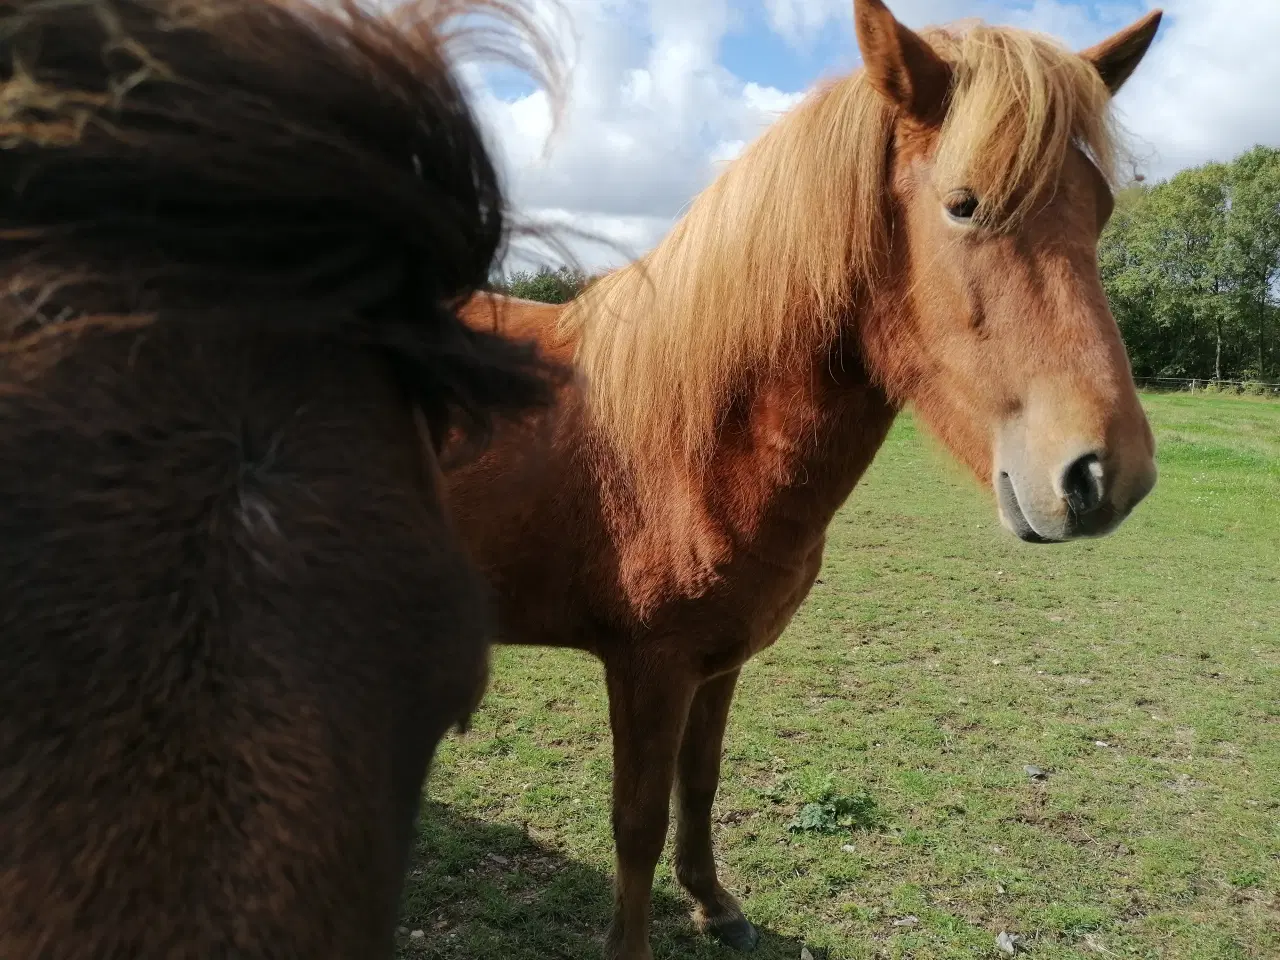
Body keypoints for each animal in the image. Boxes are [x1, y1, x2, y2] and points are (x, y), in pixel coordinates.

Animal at [453, 3, 1172, 957]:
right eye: (964, 204)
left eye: (1101, 209)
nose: (1107, 473)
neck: (691, 440)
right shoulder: (649, 668)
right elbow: (636, 824)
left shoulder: (715, 662)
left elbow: (702, 782)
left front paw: (714, 904)